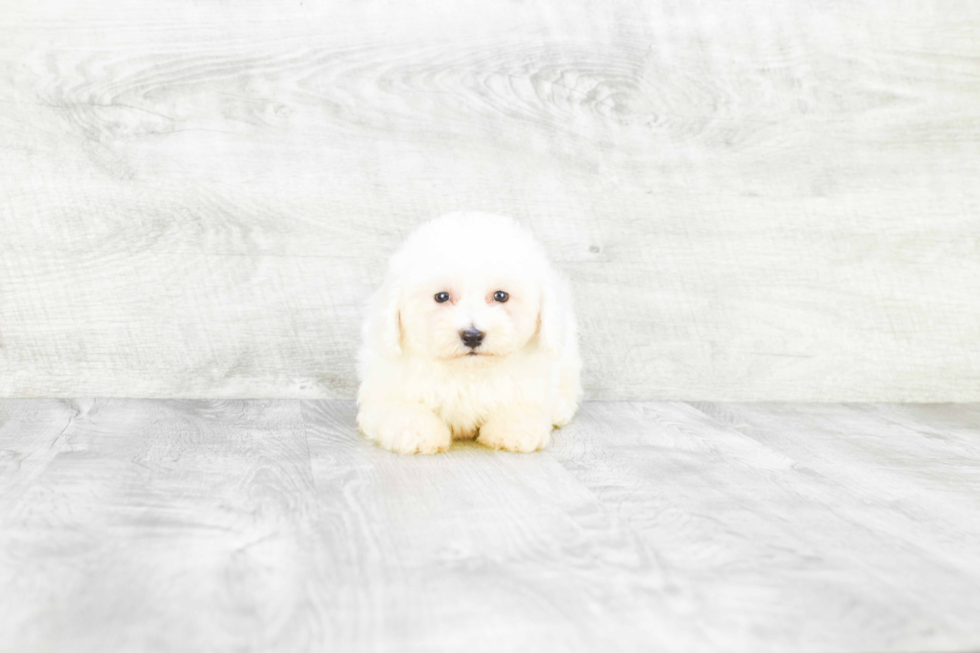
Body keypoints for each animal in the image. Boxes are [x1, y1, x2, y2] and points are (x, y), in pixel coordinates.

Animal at [354, 211, 580, 450]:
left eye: (501, 296)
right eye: (442, 296)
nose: (472, 336)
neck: (467, 372)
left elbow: (523, 406)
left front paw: (514, 430)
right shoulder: (383, 393)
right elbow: (399, 408)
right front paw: (417, 432)